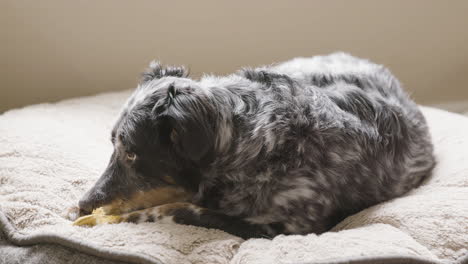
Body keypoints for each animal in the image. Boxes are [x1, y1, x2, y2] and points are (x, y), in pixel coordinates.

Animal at [73, 52, 436, 238]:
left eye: (131, 153)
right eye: (112, 145)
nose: (83, 203)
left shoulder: (288, 228)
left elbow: (178, 209)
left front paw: (107, 220)